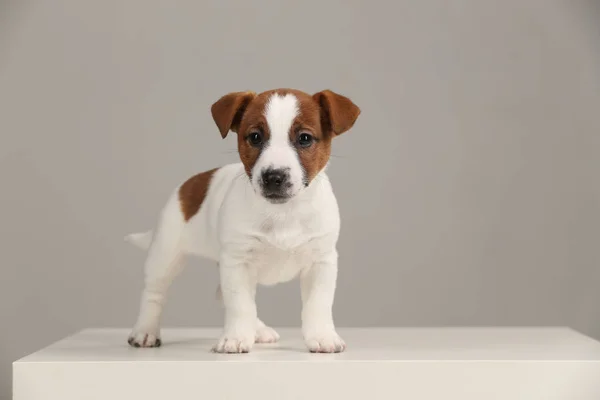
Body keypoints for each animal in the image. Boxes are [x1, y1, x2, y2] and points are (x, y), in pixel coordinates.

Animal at [126, 88, 358, 354]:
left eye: (305, 138)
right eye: (255, 137)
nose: (274, 176)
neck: (282, 213)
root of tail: (189, 185)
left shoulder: (321, 261)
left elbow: (318, 304)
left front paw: (322, 336)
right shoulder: (238, 262)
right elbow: (240, 304)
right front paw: (236, 337)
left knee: (223, 294)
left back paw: (258, 330)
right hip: (166, 256)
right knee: (154, 294)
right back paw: (145, 331)